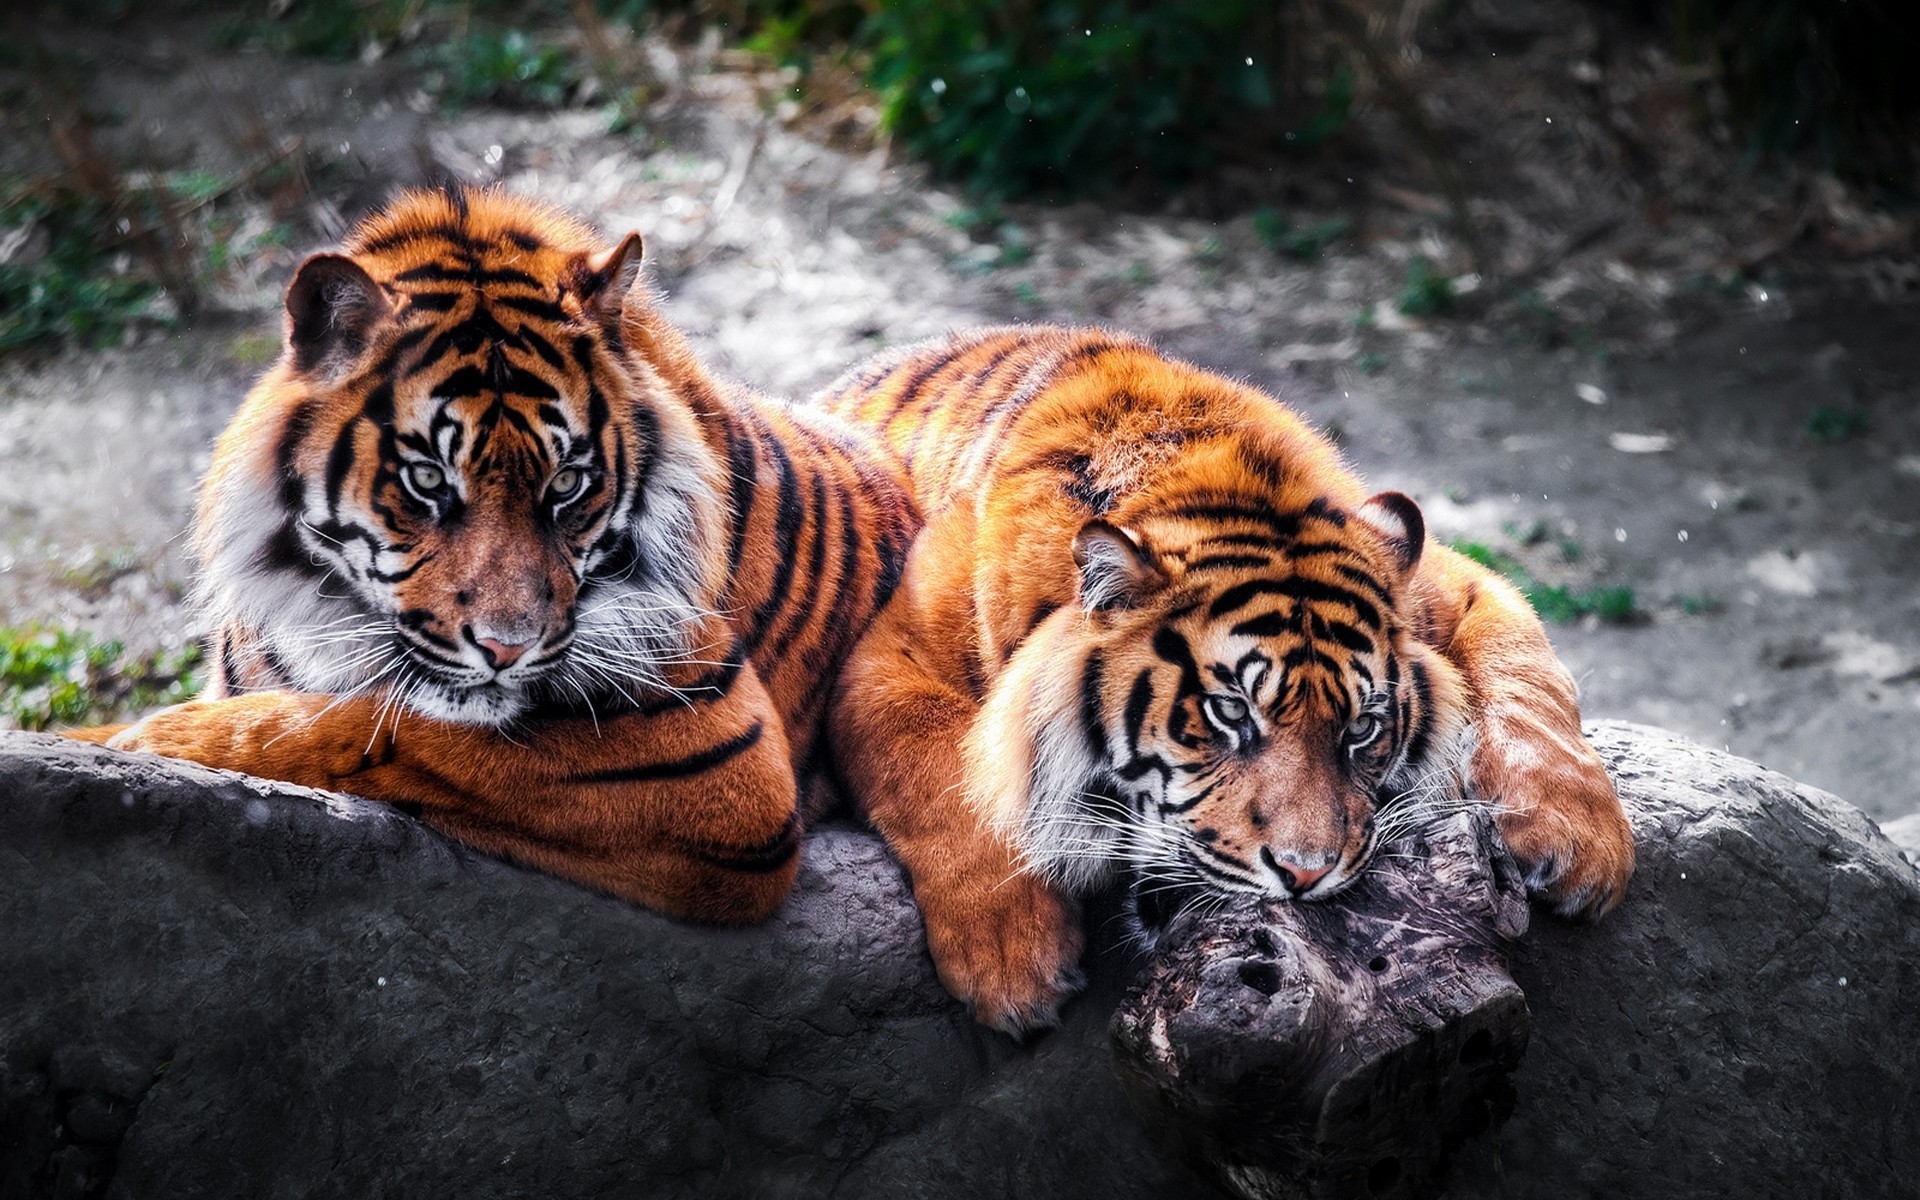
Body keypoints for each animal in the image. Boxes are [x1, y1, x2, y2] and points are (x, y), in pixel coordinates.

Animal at [72, 185, 913, 917]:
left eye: (568, 484)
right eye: (426, 480)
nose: (508, 650)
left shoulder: (720, 753)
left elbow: (376, 725)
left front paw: (160, 736)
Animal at [817, 324, 1643, 1029]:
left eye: (1363, 730)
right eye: (1228, 714)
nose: (1305, 875)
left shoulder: (1455, 583)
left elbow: (1527, 674)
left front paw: (1579, 843)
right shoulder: (882, 658)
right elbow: (948, 775)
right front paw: (1014, 963)